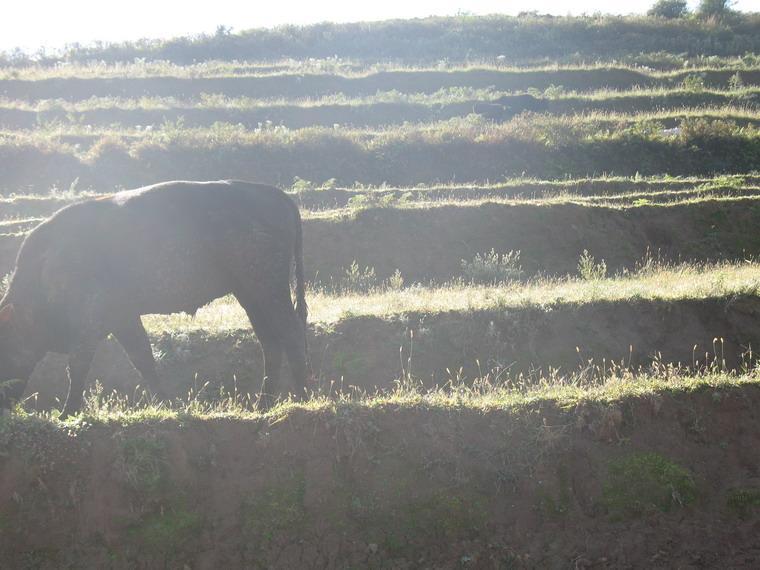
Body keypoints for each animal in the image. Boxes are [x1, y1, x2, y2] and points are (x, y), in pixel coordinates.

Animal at [0, 180, 308, 414]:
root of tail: (273, 194)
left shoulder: (91, 321)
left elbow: (78, 367)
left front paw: (67, 413)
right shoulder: (123, 317)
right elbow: (143, 358)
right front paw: (166, 403)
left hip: (268, 287)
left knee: (291, 333)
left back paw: (302, 398)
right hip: (251, 295)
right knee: (270, 342)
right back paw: (263, 405)